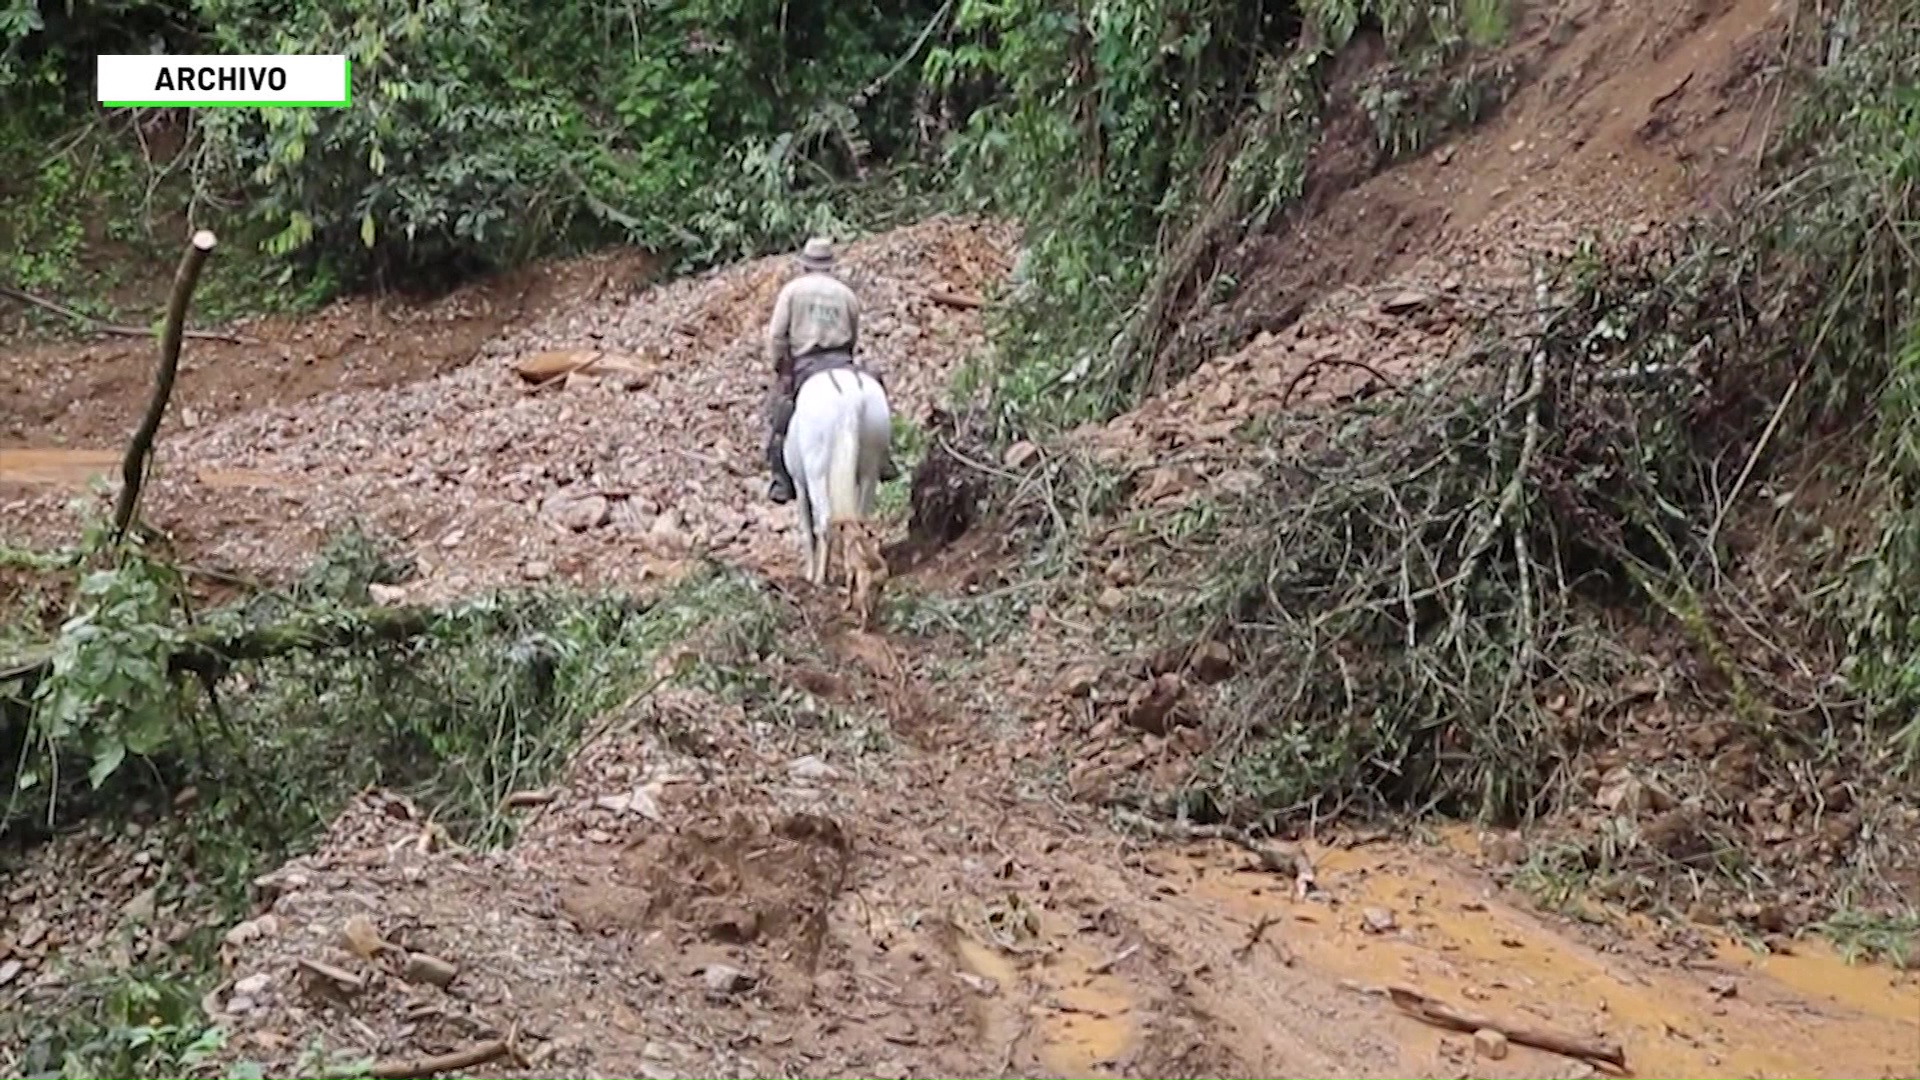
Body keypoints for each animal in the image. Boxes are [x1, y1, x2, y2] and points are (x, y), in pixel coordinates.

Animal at [779, 367, 890, 588]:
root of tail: (851, 399)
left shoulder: (800, 485)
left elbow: (808, 529)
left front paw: (810, 573)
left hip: (817, 472)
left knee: (825, 520)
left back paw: (820, 578)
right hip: (869, 467)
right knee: (859, 520)